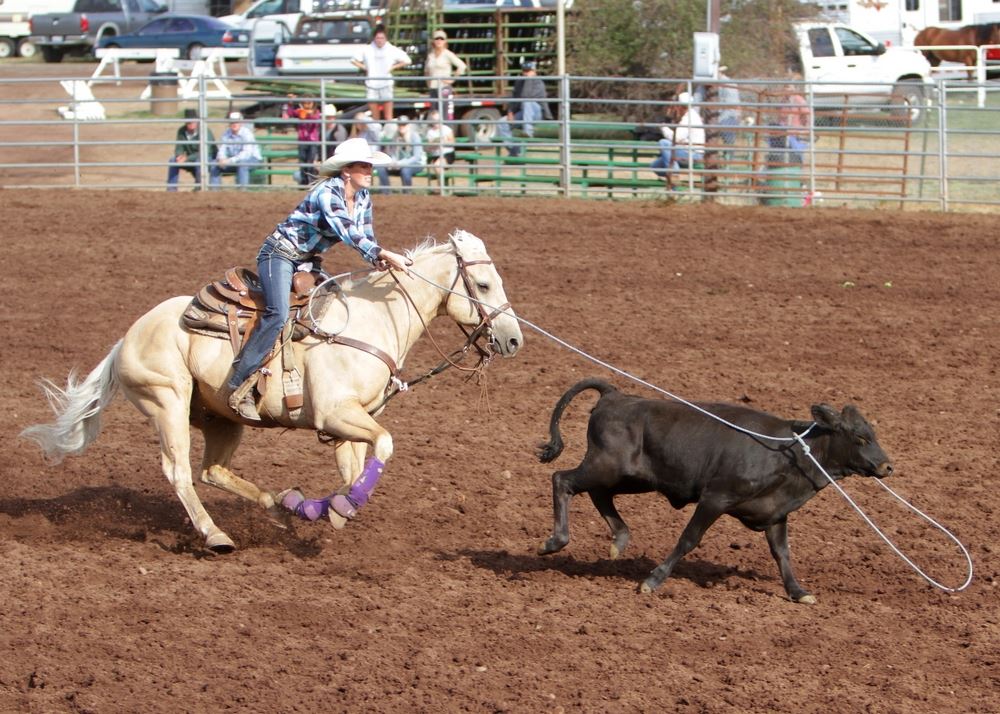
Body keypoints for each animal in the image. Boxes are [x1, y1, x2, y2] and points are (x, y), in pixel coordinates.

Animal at [536, 378, 894, 603]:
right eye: (860, 437)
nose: (887, 466)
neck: (788, 452)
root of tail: (615, 396)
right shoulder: (715, 498)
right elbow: (688, 539)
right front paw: (653, 581)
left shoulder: (775, 512)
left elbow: (782, 553)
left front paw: (797, 591)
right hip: (606, 466)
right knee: (562, 480)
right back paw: (555, 541)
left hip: (627, 477)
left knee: (599, 494)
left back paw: (619, 540)